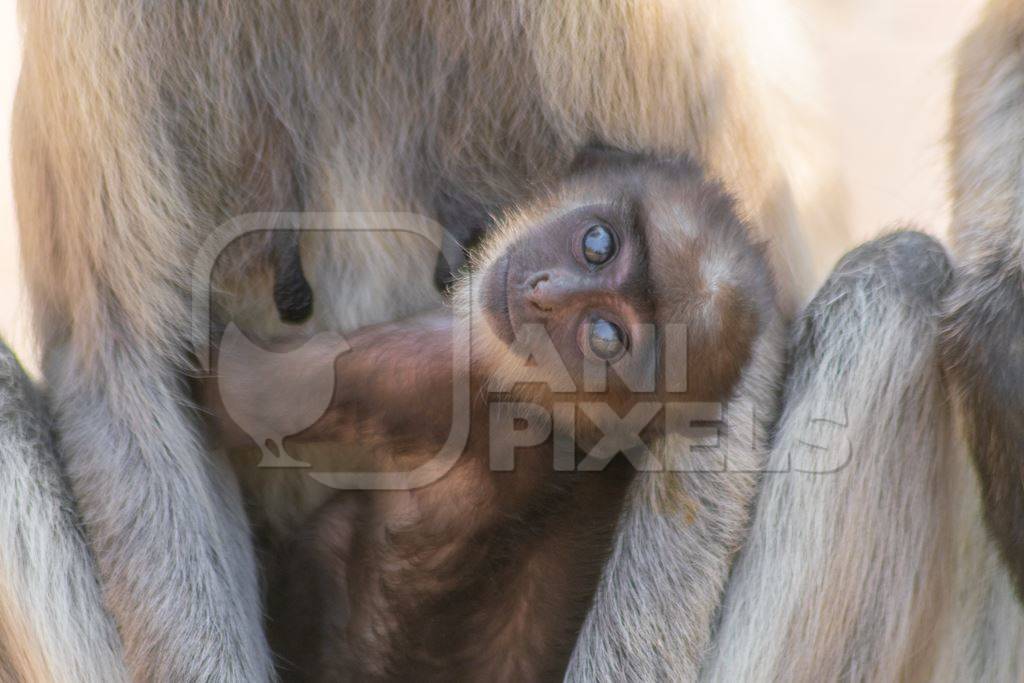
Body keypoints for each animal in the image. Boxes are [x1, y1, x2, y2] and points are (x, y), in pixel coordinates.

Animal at [201, 147, 774, 679]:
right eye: (598, 244)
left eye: (605, 337)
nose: (544, 294)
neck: (551, 416)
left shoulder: (440, 365)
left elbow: (232, 395)